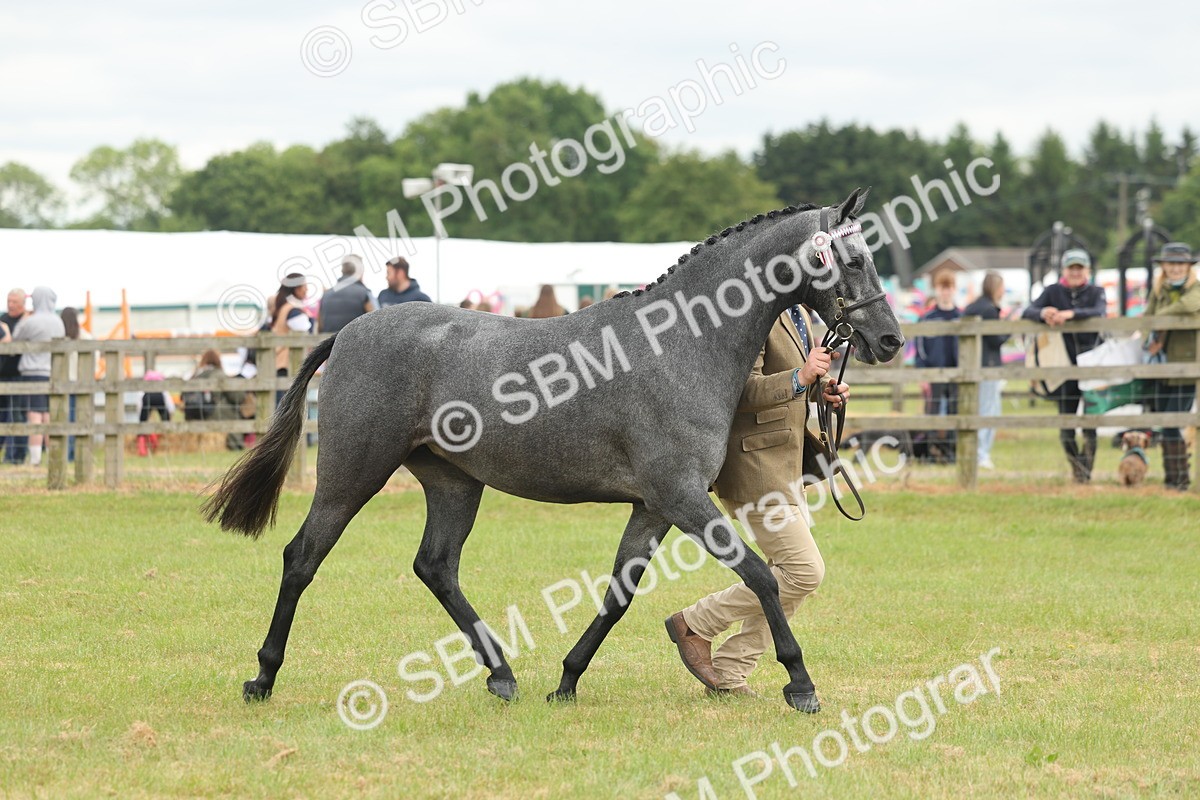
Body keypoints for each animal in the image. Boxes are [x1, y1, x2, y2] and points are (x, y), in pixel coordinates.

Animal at [203, 188, 905, 713]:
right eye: (854, 259)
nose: (890, 340)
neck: (679, 343)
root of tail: (349, 331)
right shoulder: (682, 499)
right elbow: (760, 575)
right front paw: (801, 684)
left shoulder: (654, 507)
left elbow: (619, 595)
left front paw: (566, 680)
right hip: (353, 473)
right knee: (303, 557)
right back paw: (262, 677)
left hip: (454, 482)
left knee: (436, 567)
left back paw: (502, 675)